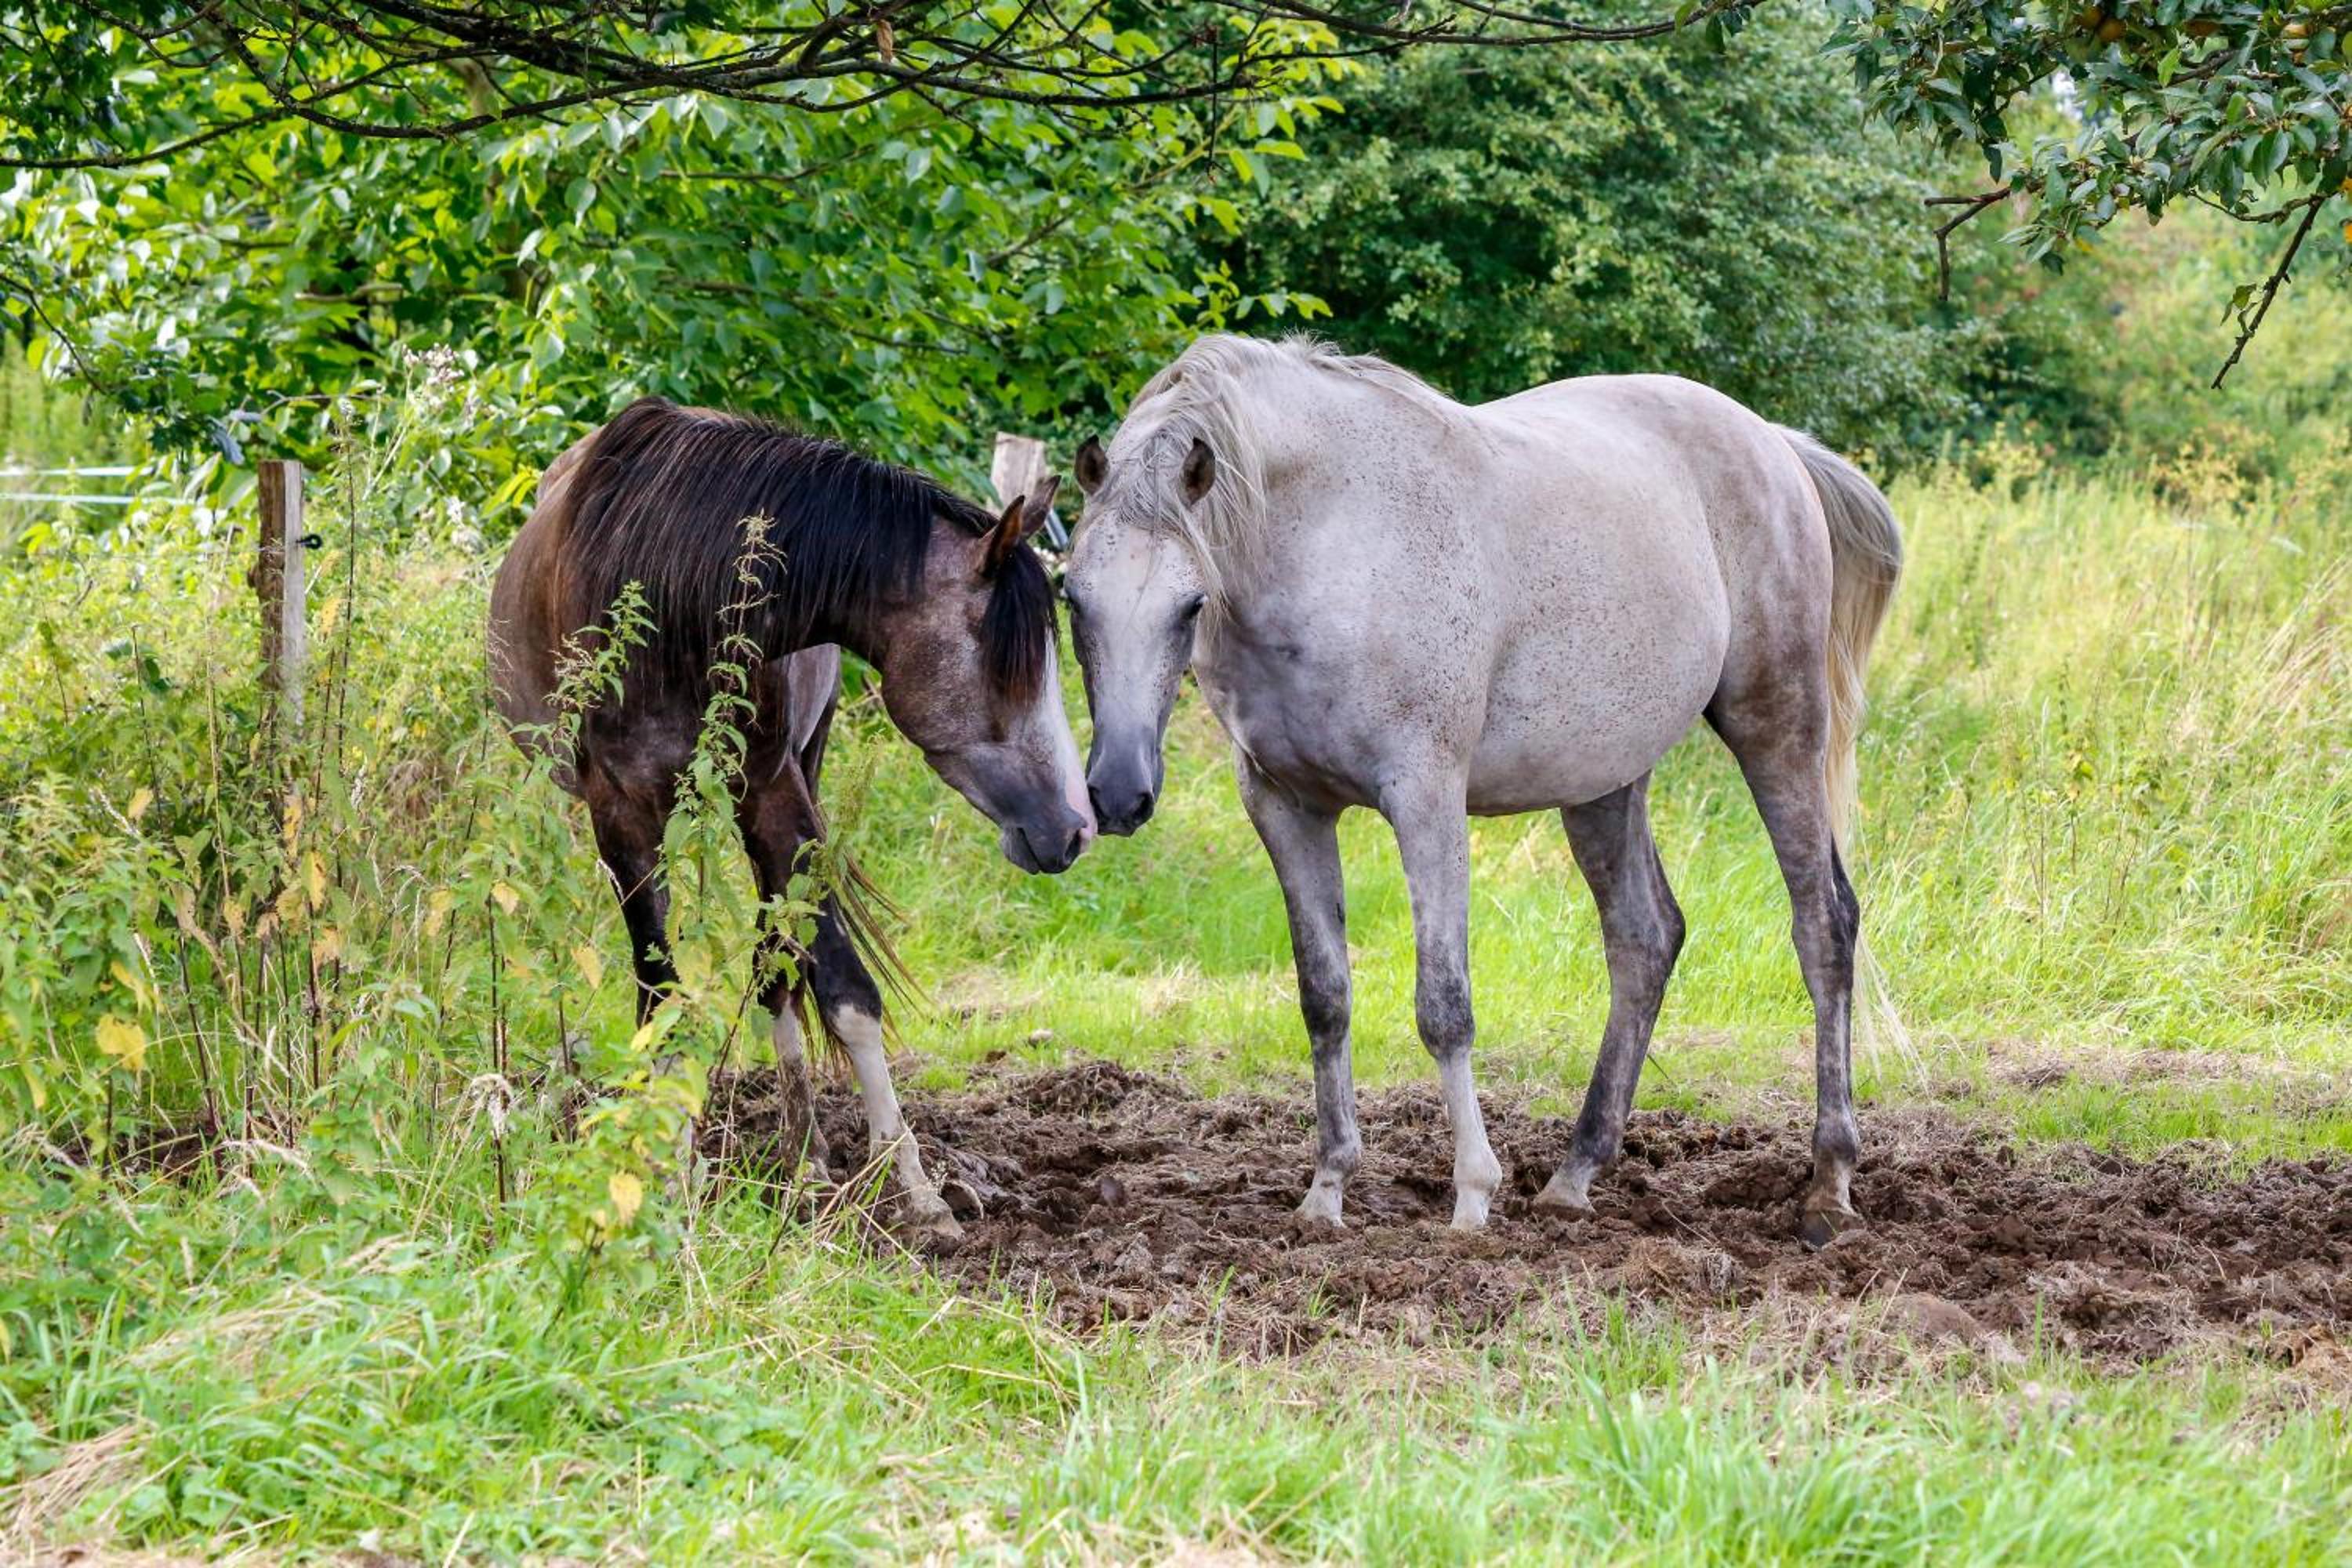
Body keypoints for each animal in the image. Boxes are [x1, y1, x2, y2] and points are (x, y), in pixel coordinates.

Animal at [489, 397, 1094, 1243]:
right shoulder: (621, 816)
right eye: (1006, 666)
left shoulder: (774, 795)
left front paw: (915, 1189)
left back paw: (805, 1157)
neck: (678, 587)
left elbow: (843, 988)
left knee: (776, 967)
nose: (1073, 827)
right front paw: (665, 1176)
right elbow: (662, 997)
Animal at [1062, 335, 1901, 1246]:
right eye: (1072, 599)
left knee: (1824, 925)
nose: (1118, 793)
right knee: (1645, 939)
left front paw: (1472, 1195)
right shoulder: (1285, 806)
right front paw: (1327, 1189)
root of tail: (1773, 445)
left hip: (1776, 726)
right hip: (1604, 779)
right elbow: (1325, 998)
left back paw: (1829, 1183)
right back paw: (1575, 1174)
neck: (1329, 545)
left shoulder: (1425, 798)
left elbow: (1444, 1004)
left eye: (1190, 604)